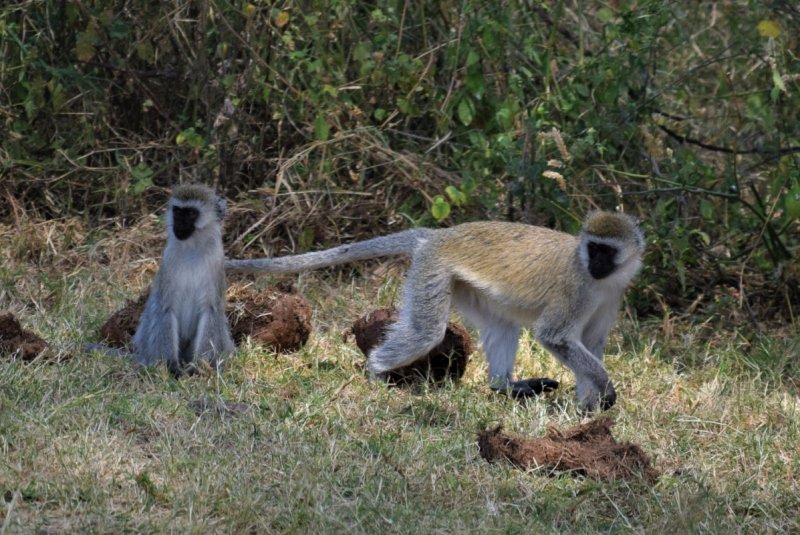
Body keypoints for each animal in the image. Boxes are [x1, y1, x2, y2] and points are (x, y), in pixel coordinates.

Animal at [88, 184, 235, 375]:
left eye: (191, 213)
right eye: (178, 212)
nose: (179, 225)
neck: (193, 247)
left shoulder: (216, 263)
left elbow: (211, 310)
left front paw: (198, 367)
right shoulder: (168, 259)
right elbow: (165, 308)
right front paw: (171, 366)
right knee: (155, 309)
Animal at [225, 211, 644, 410]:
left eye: (606, 251)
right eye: (594, 248)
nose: (596, 264)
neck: (596, 278)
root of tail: (440, 235)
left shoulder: (612, 295)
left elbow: (590, 344)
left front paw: (589, 405)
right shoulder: (577, 290)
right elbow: (555, 337)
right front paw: (605, 392)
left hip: (465, 286)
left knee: (502, 326)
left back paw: (504, 387)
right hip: (433, 269)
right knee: (425, 333)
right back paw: (376, 372)